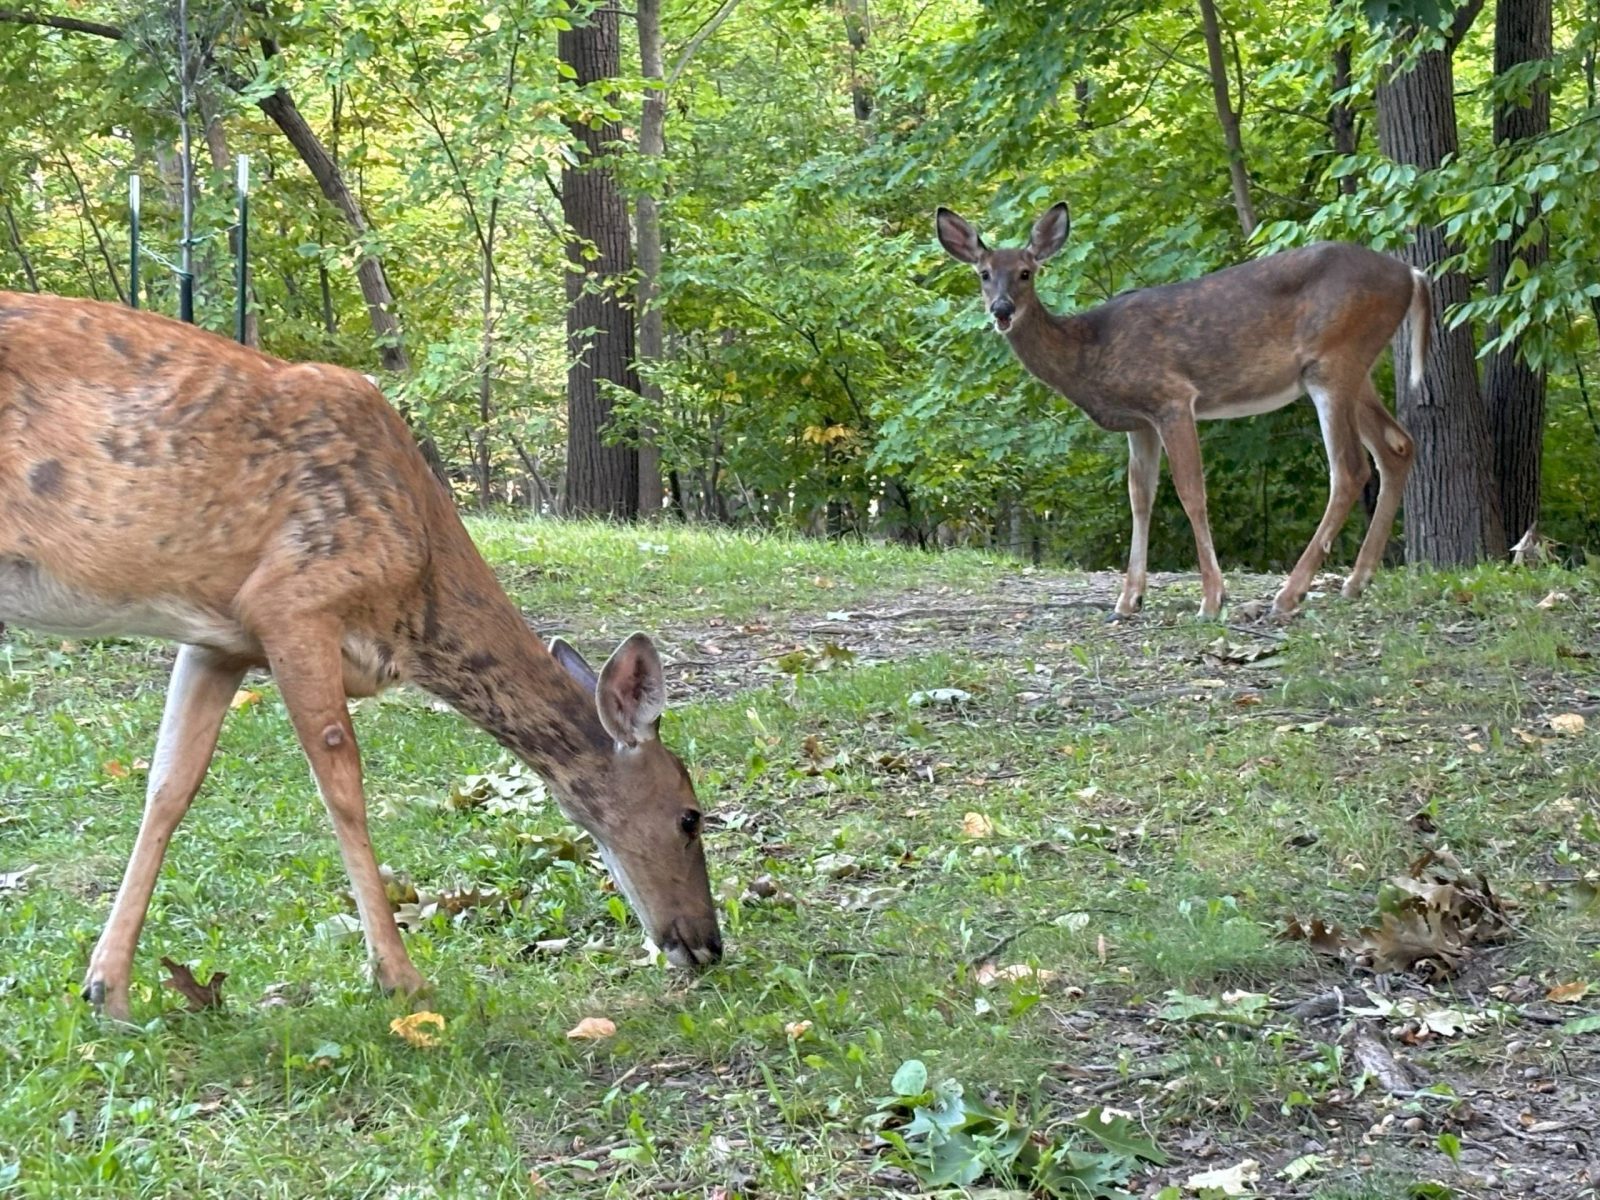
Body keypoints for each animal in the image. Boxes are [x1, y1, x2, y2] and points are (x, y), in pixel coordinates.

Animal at [0, 291, 726, 1024]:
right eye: (689, 817)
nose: (708, 944)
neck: (413, 603)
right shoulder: (292, 601)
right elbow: (343, 788)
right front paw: (399, 977)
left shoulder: (218, 639)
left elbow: (170, 785)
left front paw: (108, 988)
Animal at [934, 204, 1433, 620]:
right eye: (983, 273)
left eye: (1025, 272)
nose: (1001, 310)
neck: (1089, 352)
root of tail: (1411, 274)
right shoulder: (1139, 423)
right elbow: (1140, 497)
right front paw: (1128, 600)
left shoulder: (1172, 399)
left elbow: (1191, 493)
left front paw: (1212, 599)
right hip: (1354, 369)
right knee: (1397, 446)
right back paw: (1355, 581)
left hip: (1334, 361)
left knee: (1350, 469)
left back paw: (1291, 594)